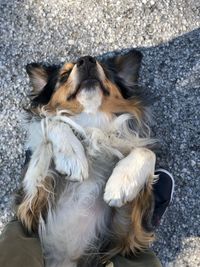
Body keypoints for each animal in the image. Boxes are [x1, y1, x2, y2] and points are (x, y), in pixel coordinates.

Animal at [16, 50, 156, 267]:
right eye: (64, 75)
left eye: (105, 69)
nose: (87, 60)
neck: (92, 123)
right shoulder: (29, 209)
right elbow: (52, 120)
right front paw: (72, 157)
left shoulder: (124, 236)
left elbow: (146, 151)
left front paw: (121, 184)